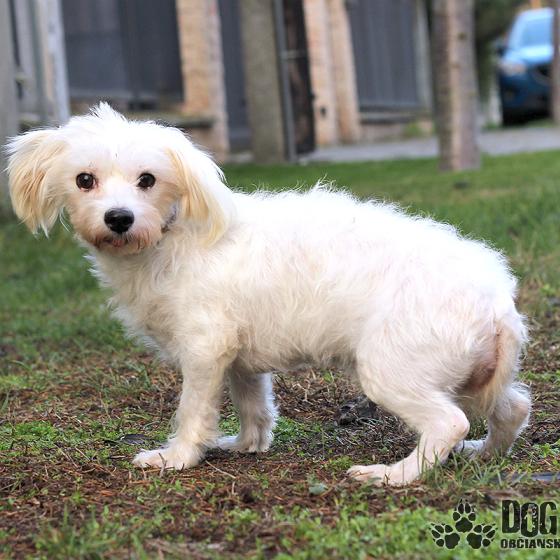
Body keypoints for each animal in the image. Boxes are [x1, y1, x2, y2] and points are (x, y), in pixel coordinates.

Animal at [6, 104, 531, 485]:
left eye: (147, 180)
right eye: (85, 180)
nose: (118, 218)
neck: (169, 240)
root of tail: (497, 302)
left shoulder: (204, 350)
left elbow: (193, 410)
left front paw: (178, 457)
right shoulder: (239, 360)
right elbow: (254, 406)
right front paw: (245, 446)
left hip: (392, 372)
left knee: (448, 424)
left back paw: (395, 475)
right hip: (475, 377)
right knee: (514, 409)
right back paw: (483, 455)